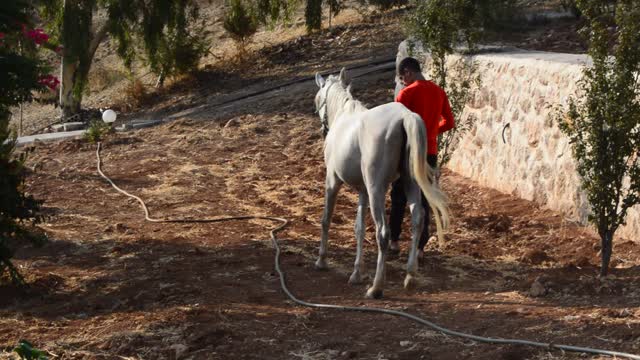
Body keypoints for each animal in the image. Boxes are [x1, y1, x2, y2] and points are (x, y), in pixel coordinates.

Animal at [312, 69, 448, 300]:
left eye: (317, 99)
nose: (323, 129)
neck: (343, 116)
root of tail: (405, 117)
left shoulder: (332, 181)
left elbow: (325, 219)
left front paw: (322, 260)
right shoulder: (363, 191)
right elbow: (359, 229)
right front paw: (357, 273)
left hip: (377, 189)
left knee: (383, 233)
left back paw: (376, 287)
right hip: (410, 183)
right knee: (417, 220)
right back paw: (410, 276)